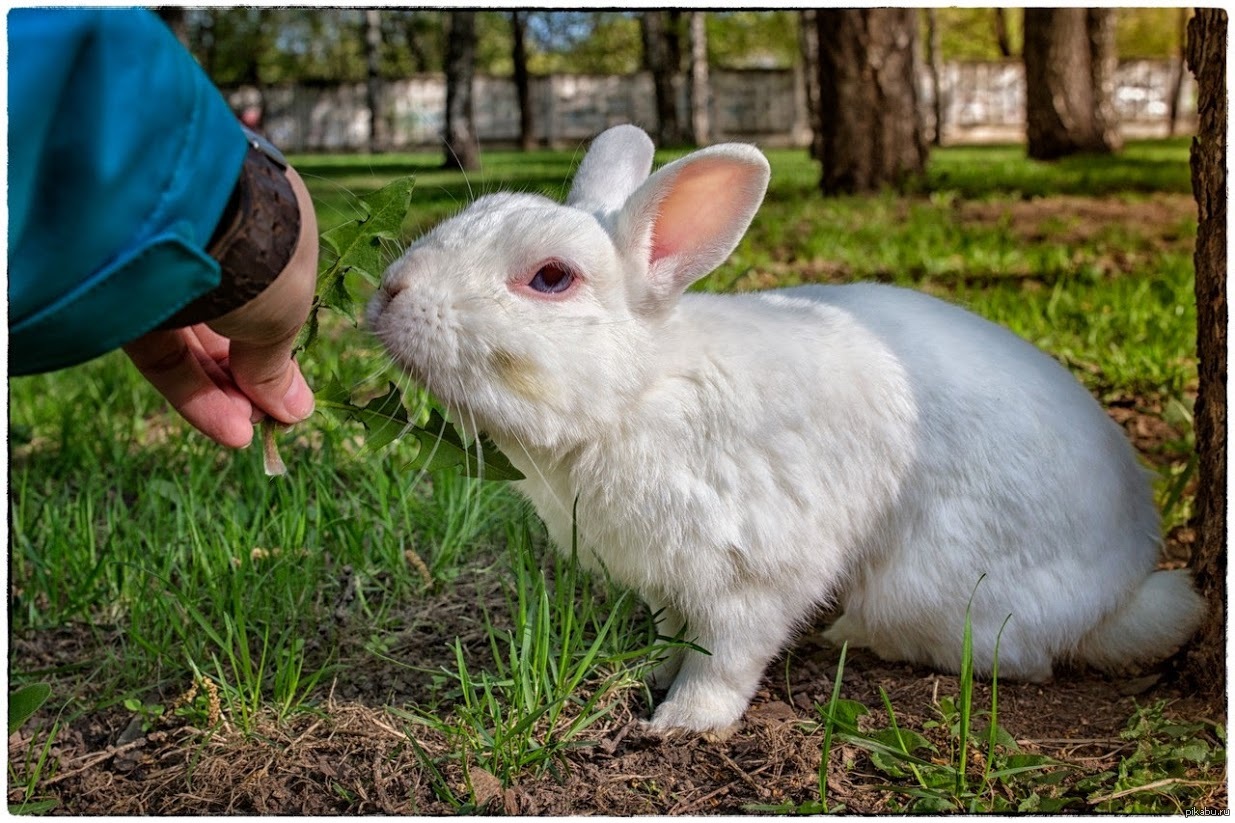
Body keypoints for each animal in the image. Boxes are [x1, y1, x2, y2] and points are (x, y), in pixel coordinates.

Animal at [368, 123, 1205, 731]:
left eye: (550, 278)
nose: (388, 291)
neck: (641, 392)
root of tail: (1121, 590)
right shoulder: (669, 583)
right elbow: (672, 635)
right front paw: (645, 674)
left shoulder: (753, 575)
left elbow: (725, 659)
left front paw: (680, 723)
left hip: (939, 592)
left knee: (1015, 657)